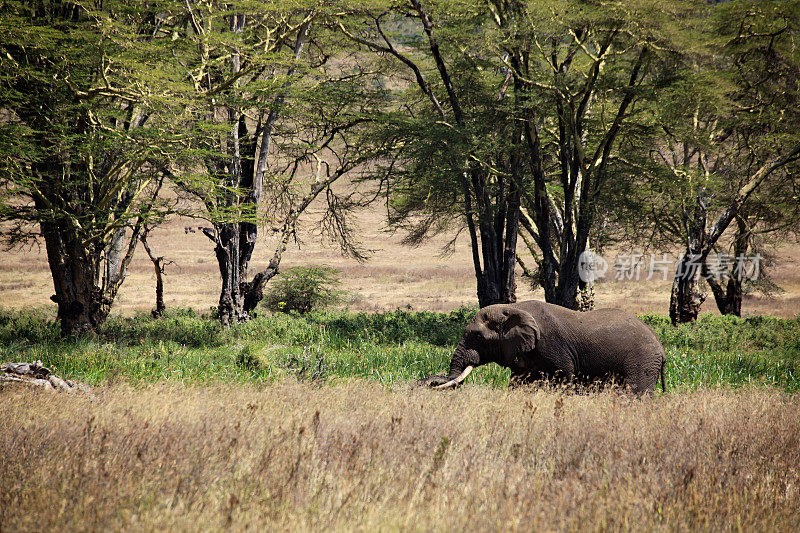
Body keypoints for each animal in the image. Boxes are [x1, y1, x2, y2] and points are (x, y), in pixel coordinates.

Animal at [418, 302, 668, 392]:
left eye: (477, 336)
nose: (423, 383)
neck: (512, 307)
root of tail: (661, 348)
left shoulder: (553, 347)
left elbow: (562, 377)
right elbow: (519, 382)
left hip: (642, 361)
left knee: (635, 393)